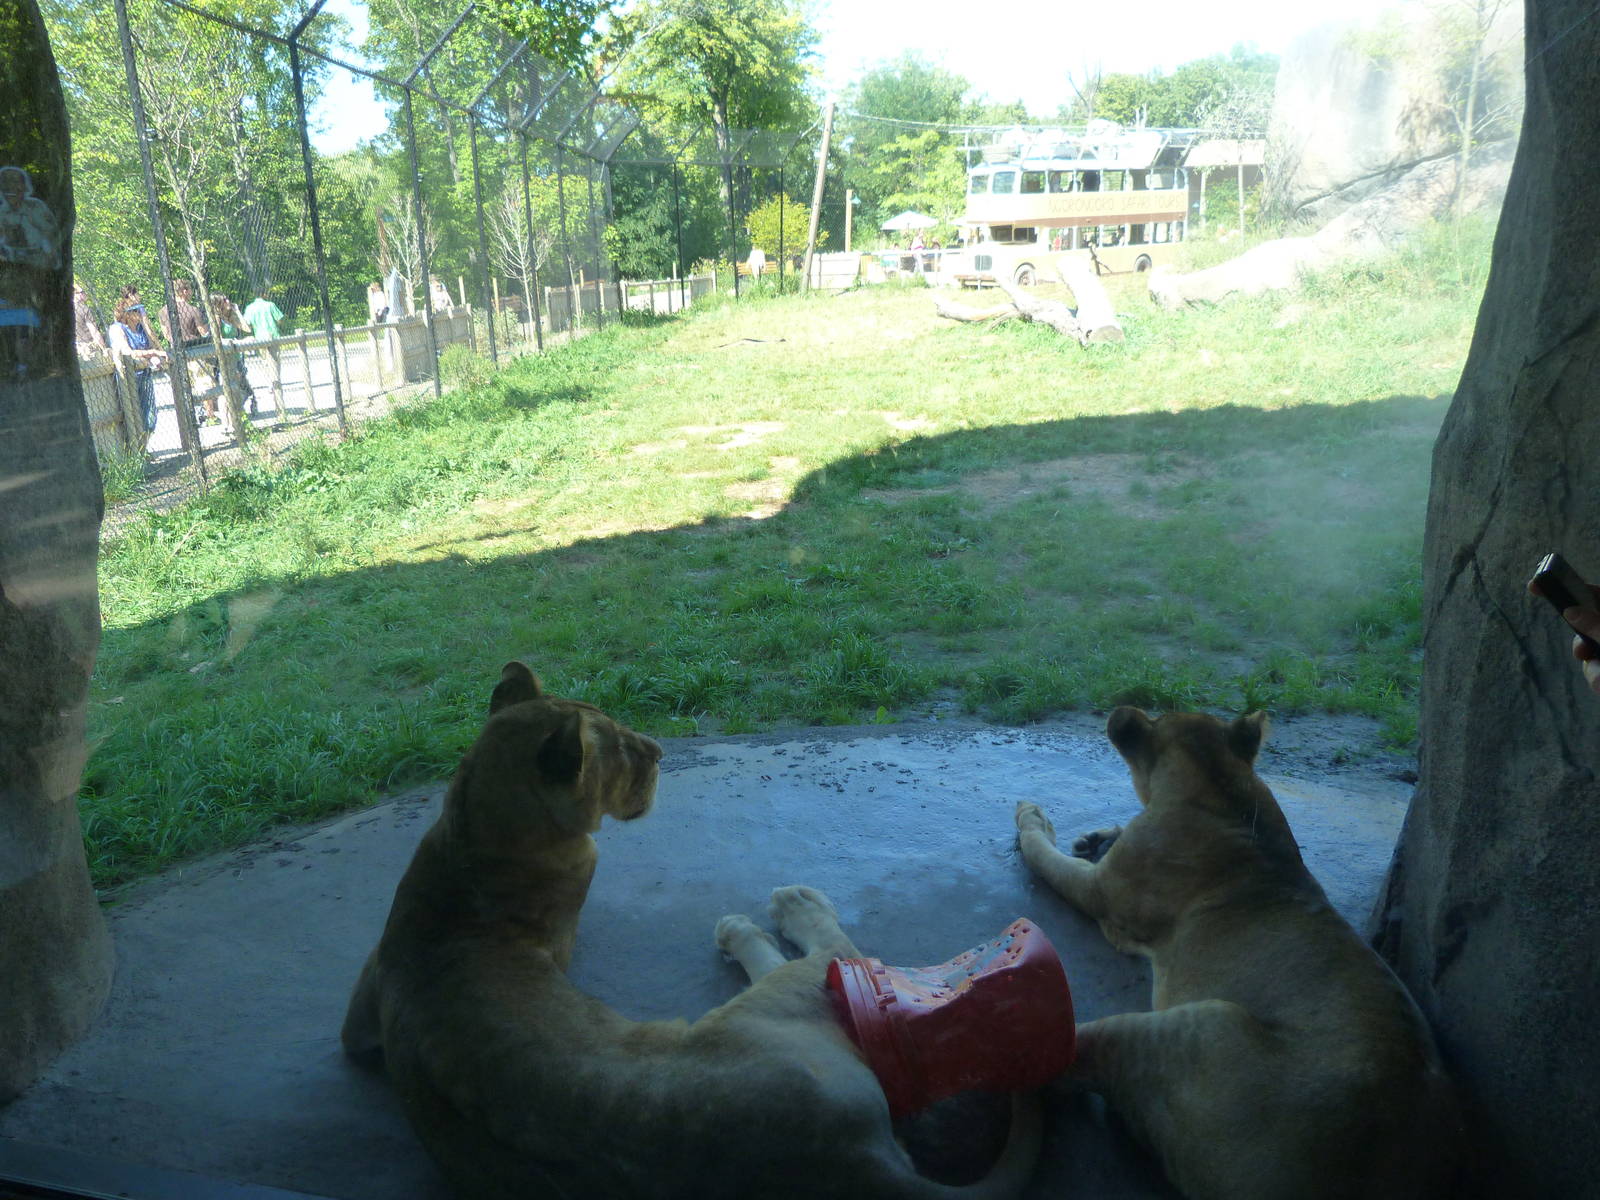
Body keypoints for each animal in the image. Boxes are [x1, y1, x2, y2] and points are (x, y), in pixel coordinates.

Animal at [342, 662, 1041, 1200]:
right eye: (622, 749)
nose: (657, 749)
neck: (470, 836)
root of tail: (853, 1158)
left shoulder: (367, 1001)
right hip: (794, 995)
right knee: (829, 949)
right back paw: (781, 908)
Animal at [1012, 707, 1462, 1200]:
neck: (1223, 787)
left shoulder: (1101, 893)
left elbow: (1044, 856)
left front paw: (1031, 815)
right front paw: (1097, 837)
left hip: (1203, 1026)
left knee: (1073, 1059)